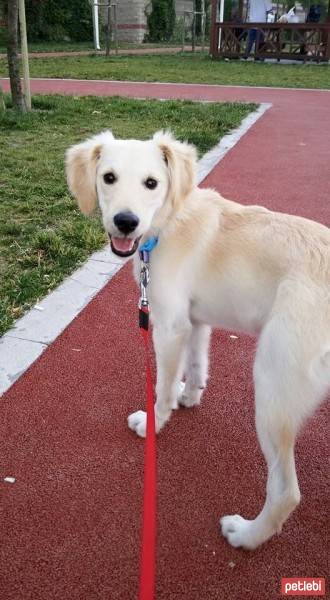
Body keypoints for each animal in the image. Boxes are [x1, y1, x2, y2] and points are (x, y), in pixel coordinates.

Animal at [65, 130, 330, 548]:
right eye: (108, 177)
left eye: (152, 183)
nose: (125, 222)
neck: (168, 221)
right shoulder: (195, 321)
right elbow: (195, 364)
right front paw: (188, 396)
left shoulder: (170, 325)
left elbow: (161, 385)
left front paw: (155, 421)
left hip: (273, 387)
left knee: (286, 491)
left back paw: (246, 534)